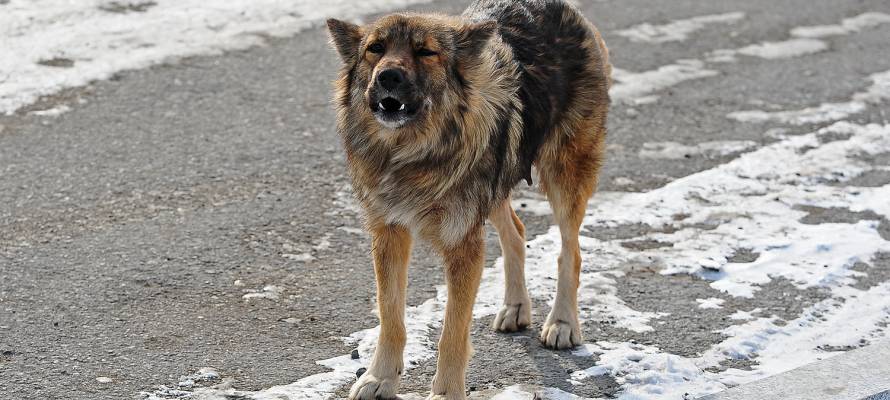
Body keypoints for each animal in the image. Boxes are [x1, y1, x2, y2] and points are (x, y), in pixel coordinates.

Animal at [326, 0, 612, 396]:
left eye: (426, 52)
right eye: (376, 49)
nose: (388, 77)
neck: (411, 153)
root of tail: (556, 7)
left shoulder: (463, 245)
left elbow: (453, 332)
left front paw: (445, 392)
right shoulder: (389, 233)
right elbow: (390, 315)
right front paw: (380, 378)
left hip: (564, 175)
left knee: (570, 251)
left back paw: (563, 323)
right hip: (495, 187)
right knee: (517, 233)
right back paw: (516, 306)